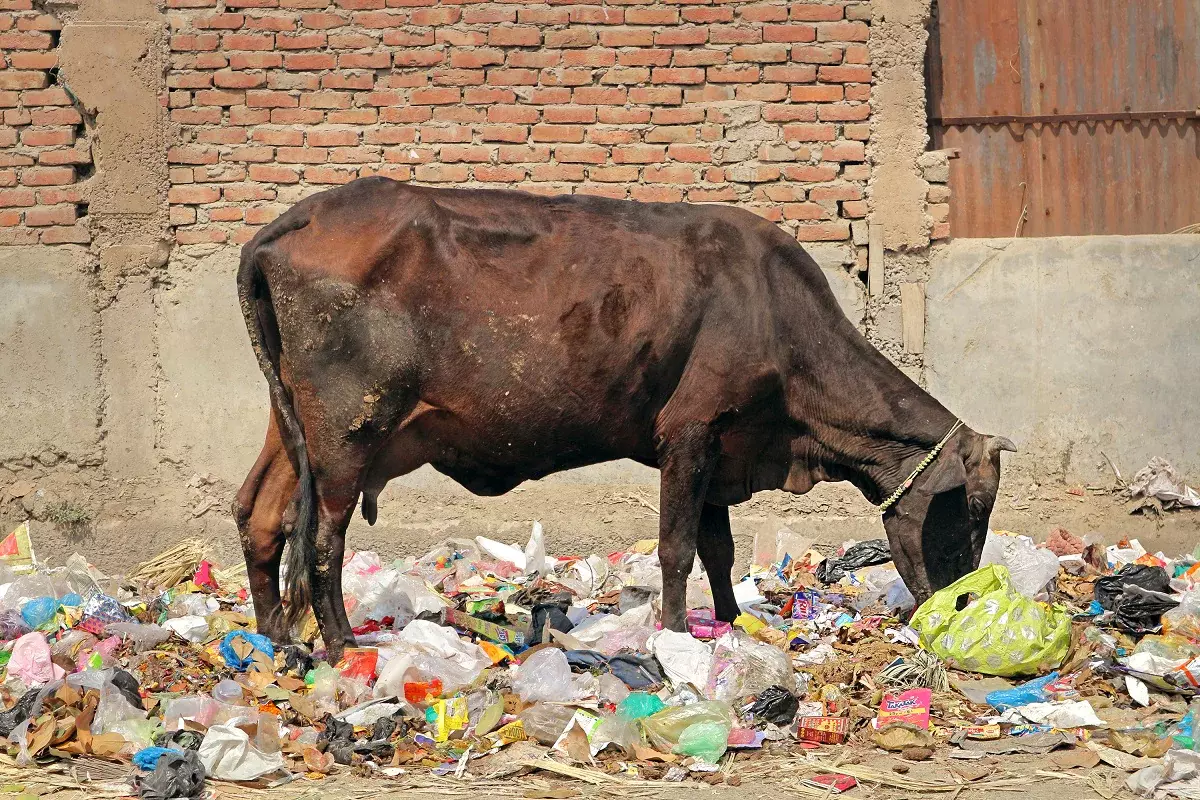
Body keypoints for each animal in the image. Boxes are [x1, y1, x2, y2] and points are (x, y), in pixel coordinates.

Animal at [233, 177, 1015, 662]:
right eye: (971, 508)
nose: (961, 602)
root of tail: (296, 219)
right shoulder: (690, 431)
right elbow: (677, 547)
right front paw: (672, 633)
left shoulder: (720, 448)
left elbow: (718, 547)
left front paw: (729, 622)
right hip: (348, 430)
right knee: (323, 537)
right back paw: (341, 644)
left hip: (294, 427)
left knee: (259, 514)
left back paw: (277, 637)